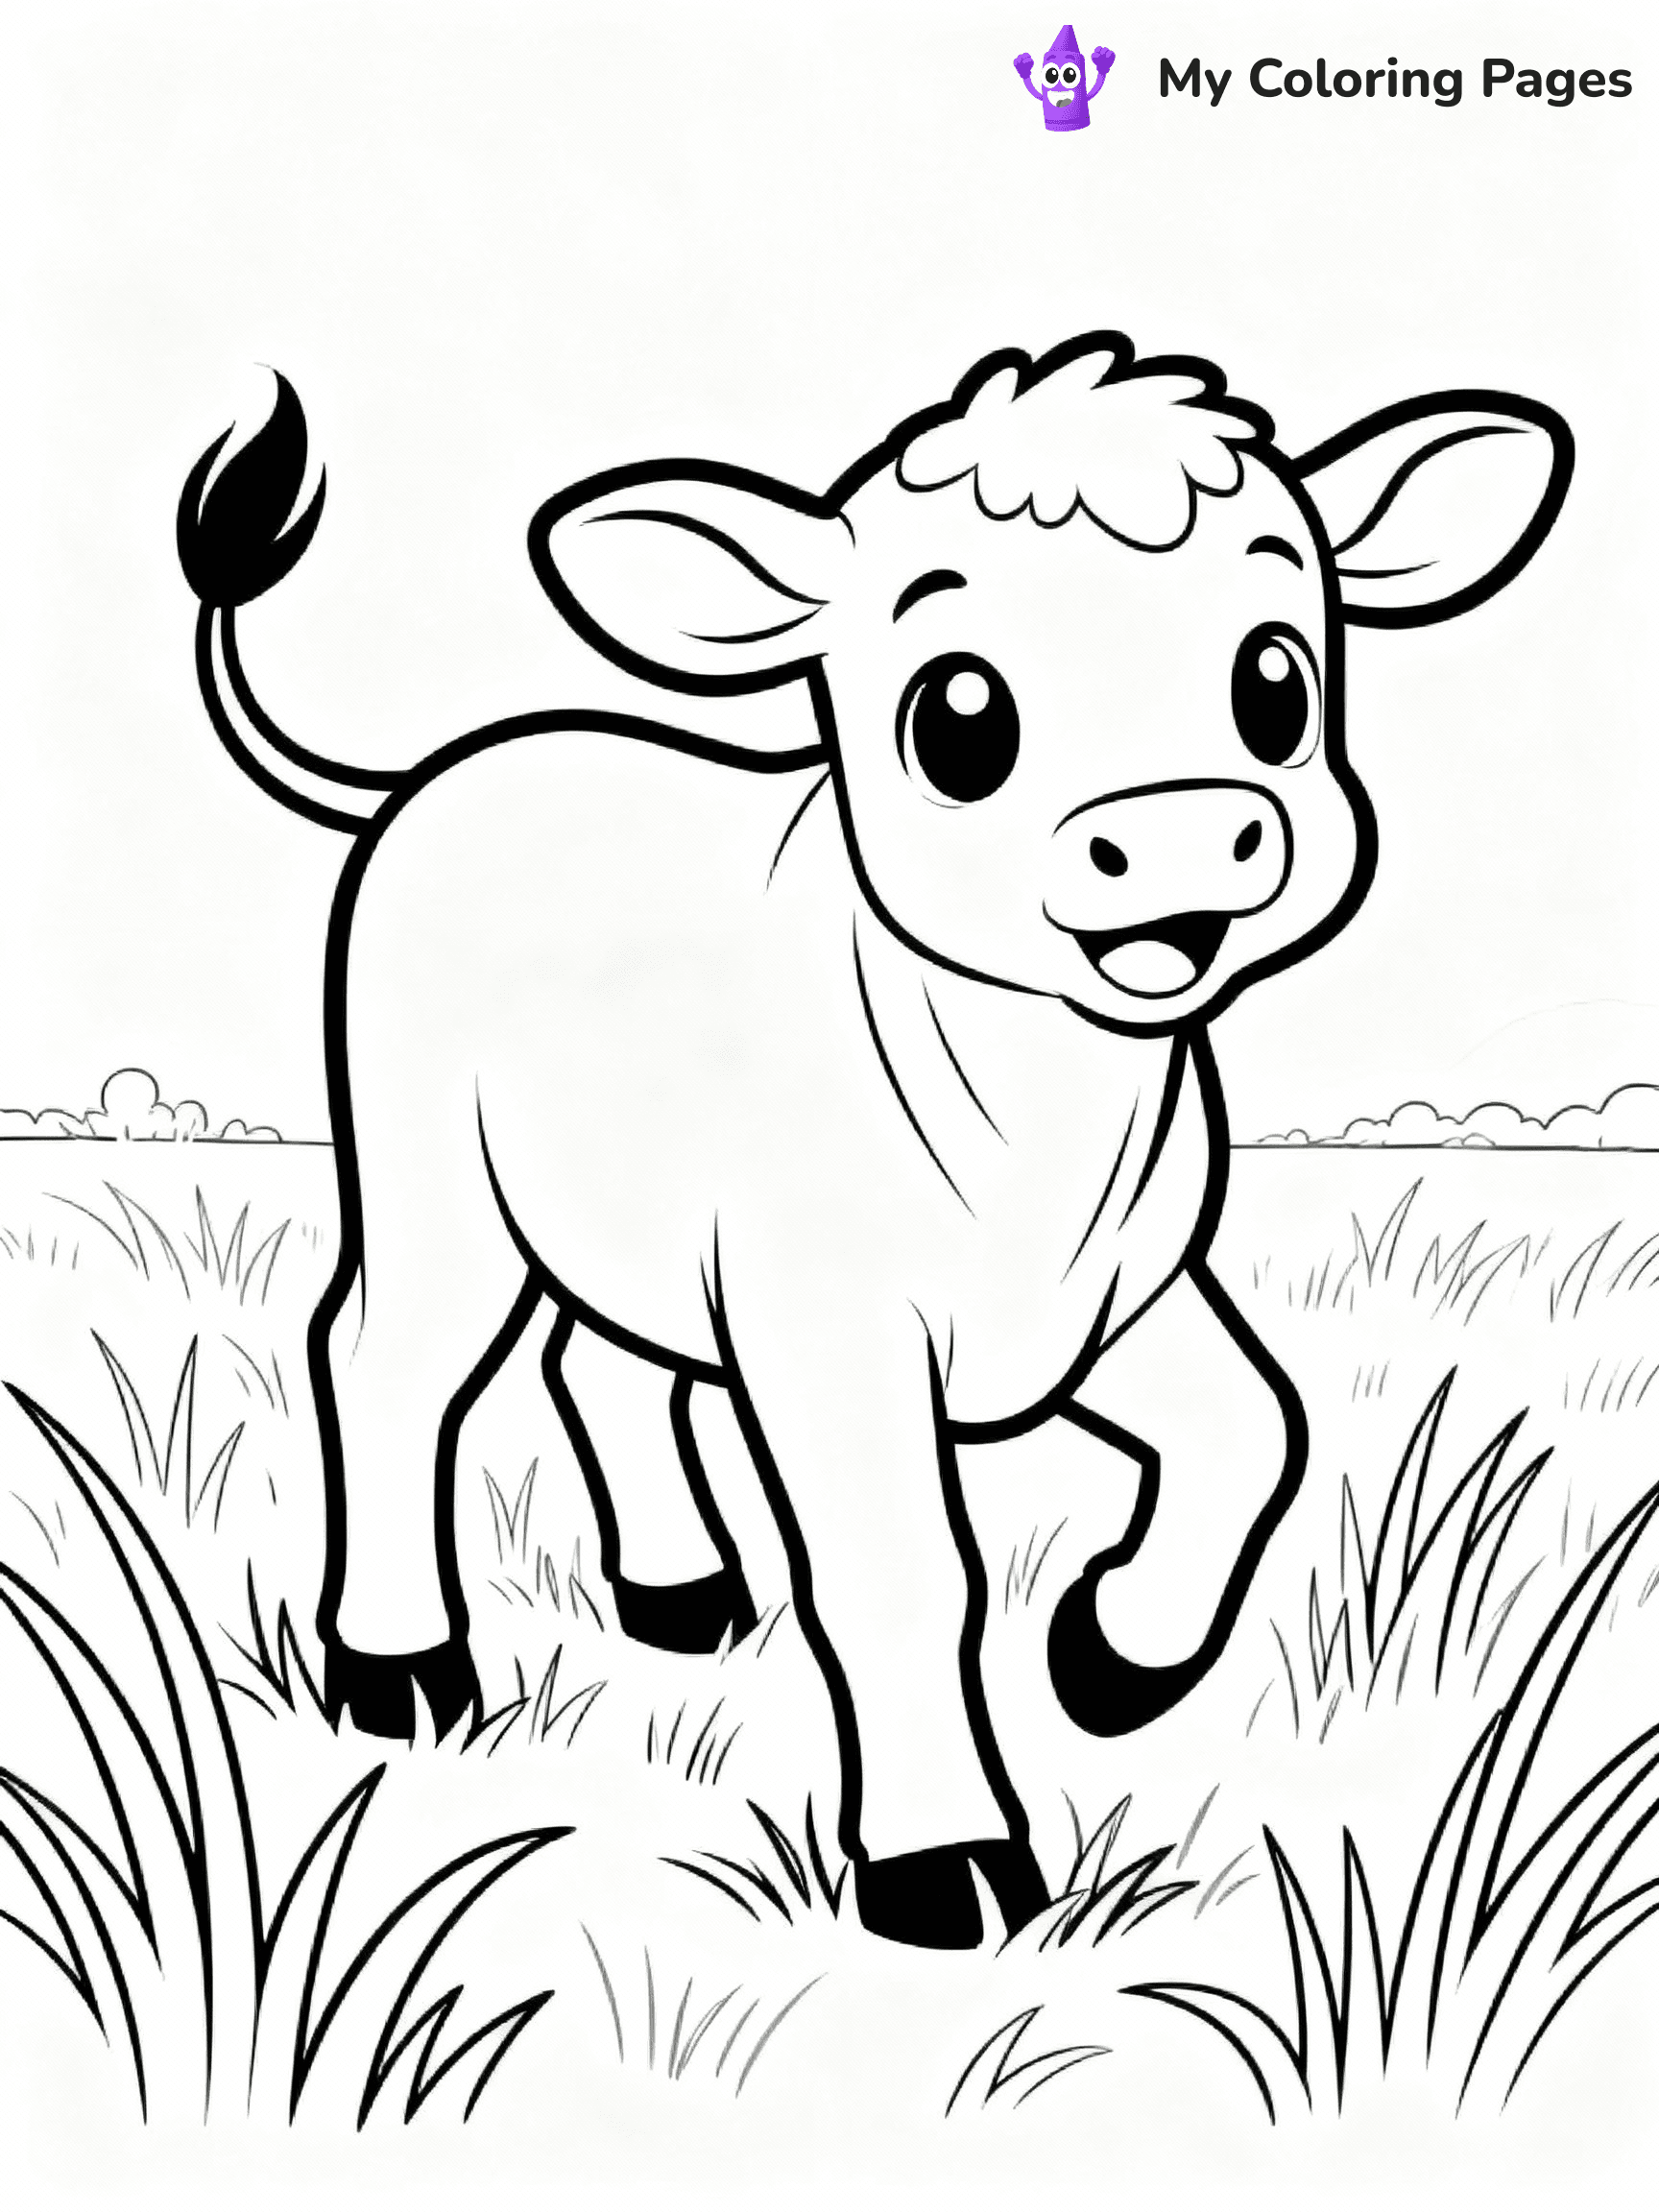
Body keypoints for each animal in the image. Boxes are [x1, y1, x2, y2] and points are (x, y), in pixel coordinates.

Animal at [177, 333, 1571, 1948]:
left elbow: (1256, 1429)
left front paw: (1110, 1659)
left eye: (1277, 679)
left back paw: (683, 1594)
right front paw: (940, 1862)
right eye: (960, 718)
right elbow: (908, 1576)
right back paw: (401, 1672)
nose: (1177, 836)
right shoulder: (831, 1337)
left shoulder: (1113, 1306)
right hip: (429, 1181)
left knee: (605, 1364)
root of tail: (451, 764)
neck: (1044, 1122)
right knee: (385, 1362)